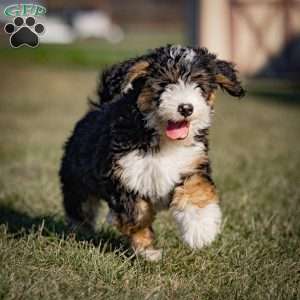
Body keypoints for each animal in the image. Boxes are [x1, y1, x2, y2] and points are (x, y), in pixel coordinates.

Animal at [58, 44, 244, 260]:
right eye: (164, 83)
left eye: (199, 84)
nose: (186, 108)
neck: (162, 139)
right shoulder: (125, 175)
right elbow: (138, 215)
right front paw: (147, 251)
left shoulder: (192, 164)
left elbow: (197, 189)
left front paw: (201, 229)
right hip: (76, 179)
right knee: (80, 206)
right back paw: (80, 231)